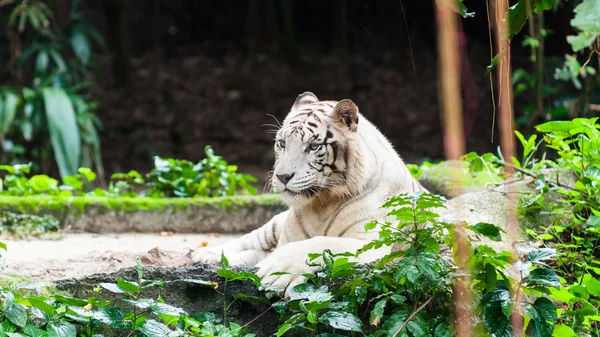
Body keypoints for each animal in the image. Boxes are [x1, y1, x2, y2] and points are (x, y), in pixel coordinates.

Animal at [192, 92, 426, 296]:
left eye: (313, 146)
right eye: (282, 143)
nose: (282, 176)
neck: (321, 203)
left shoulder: (368, 241)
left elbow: (320, 243)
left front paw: (278, 269)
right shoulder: (286, 237)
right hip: (275, 225)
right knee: (252, 239)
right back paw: (208, 255)